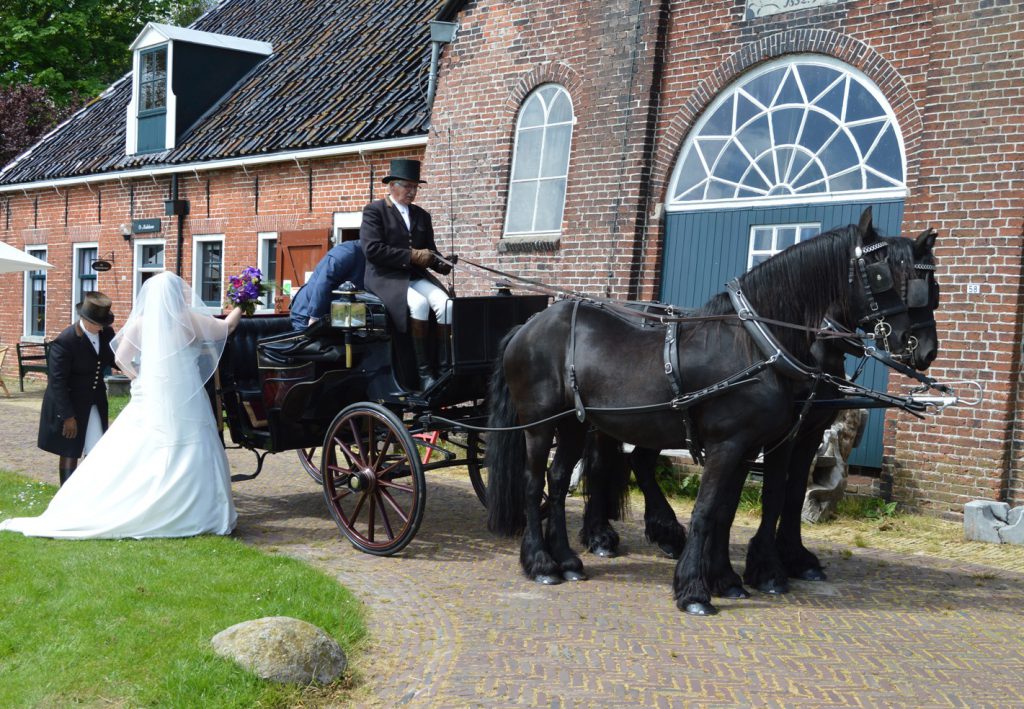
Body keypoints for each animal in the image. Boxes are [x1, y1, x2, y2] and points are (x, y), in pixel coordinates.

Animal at [483, 209, 937, 614]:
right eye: (883, 275)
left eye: (930, 283)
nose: (923, 349)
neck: (755, 344)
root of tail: (528, 326)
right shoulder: (732, 443)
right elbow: (709, 510)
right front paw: (696, 589)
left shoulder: (755, 445)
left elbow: (732, 509)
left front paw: (729, 578)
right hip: (540, 425)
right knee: (535, 482)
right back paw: (543, 562)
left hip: (575, 425)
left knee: (560, 481)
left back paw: (568, 559)